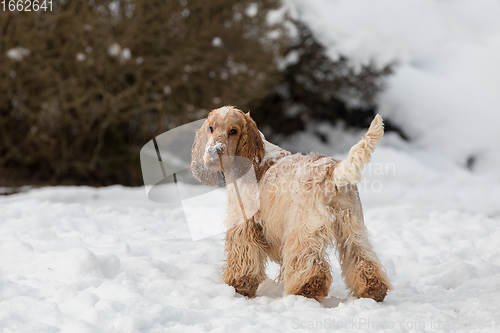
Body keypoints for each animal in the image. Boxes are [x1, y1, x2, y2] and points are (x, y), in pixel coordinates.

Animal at [190, 105, 390, 300]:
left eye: (233, 131)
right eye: (210, 128)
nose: (213, 151)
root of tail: (332, 170)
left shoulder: (243, 224)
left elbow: (243, 259)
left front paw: (238, 286)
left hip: (304, 230)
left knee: (311, 266)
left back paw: (306, 291)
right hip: (352, 229)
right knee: (364, 261)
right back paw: (373, 290)